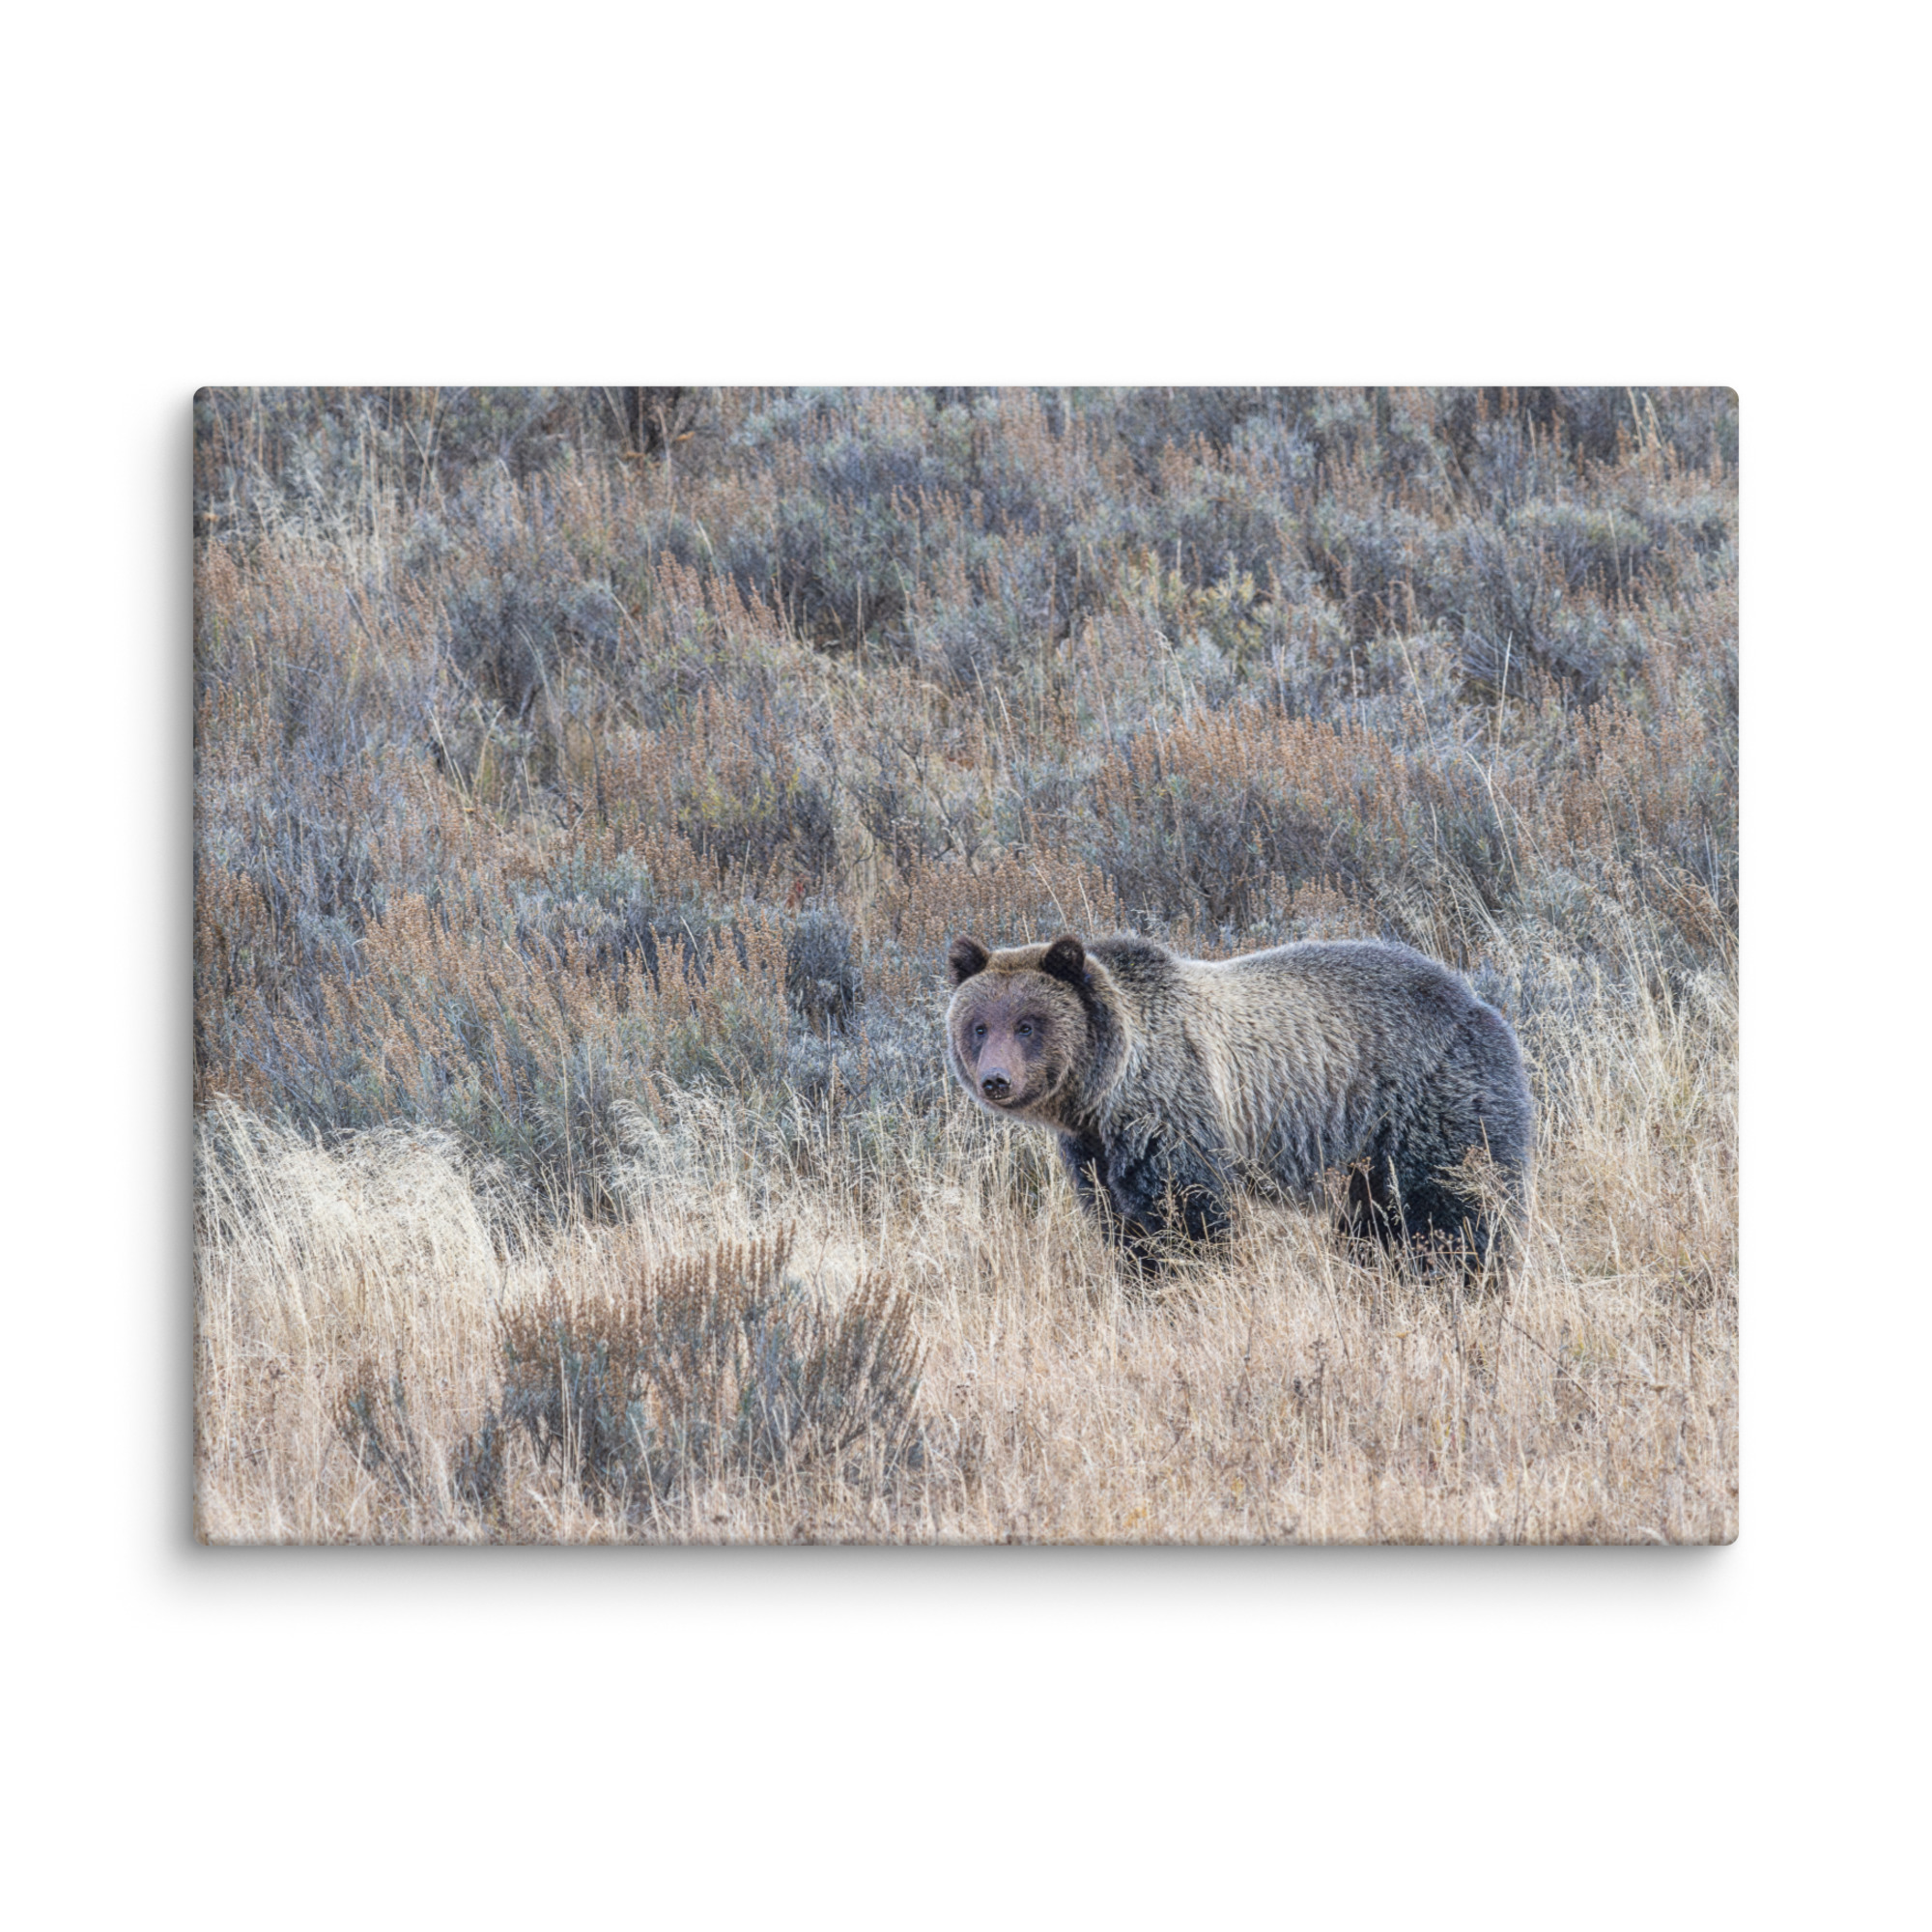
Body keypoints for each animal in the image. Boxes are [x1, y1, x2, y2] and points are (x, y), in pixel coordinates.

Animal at [946, 930, 1533, 1278]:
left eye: (1027, 1024)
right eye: (979, 1026)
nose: (995, 1080)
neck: (1104, 1091)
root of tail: (1479, 1002)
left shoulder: (1174, 1112)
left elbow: (1189, 1215)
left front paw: (1192, 1279)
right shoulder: (1094, 1151)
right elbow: (1121, 1225)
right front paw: (1141, 1278)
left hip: (1431, 1103)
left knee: (1454, 1207)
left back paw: (1465, 1277)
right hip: (1367, 1154)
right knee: (1375, 1222)